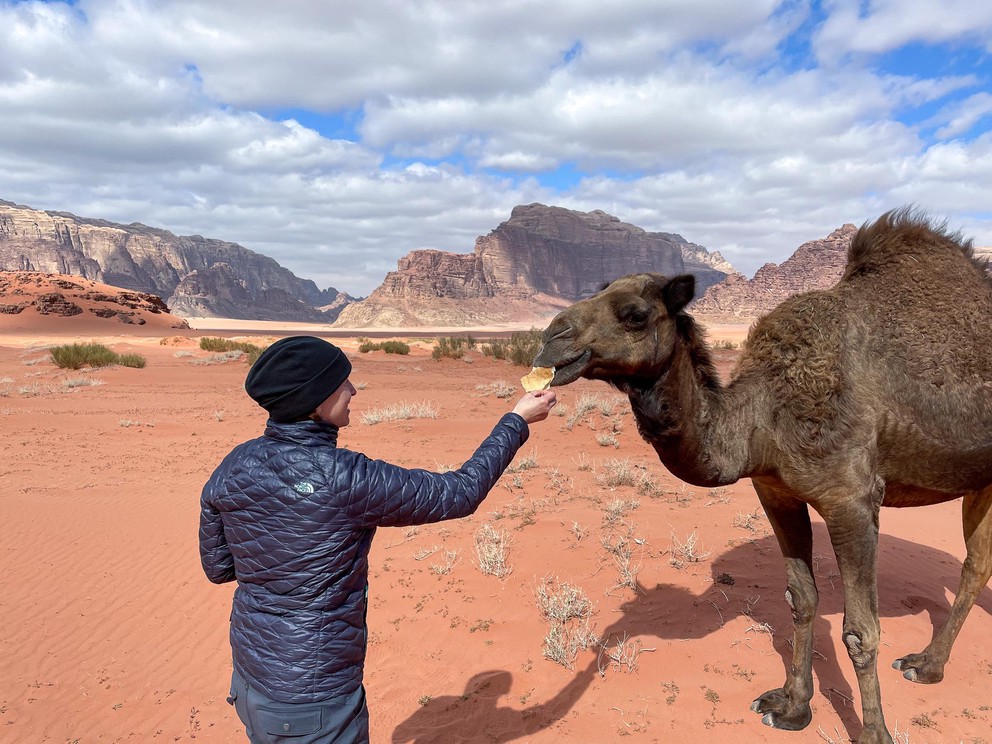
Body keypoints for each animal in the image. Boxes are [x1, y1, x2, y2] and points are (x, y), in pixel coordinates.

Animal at [532, 209, 992, 744]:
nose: (550, 339)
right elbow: (801, 600)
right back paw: (927, 665)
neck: (761, 418)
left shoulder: (852, 499)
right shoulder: (777, 491)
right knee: (975, 565)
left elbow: (861, 631)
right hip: (981, 479)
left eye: (634, 314)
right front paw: (791, 707)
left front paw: (875, 734)